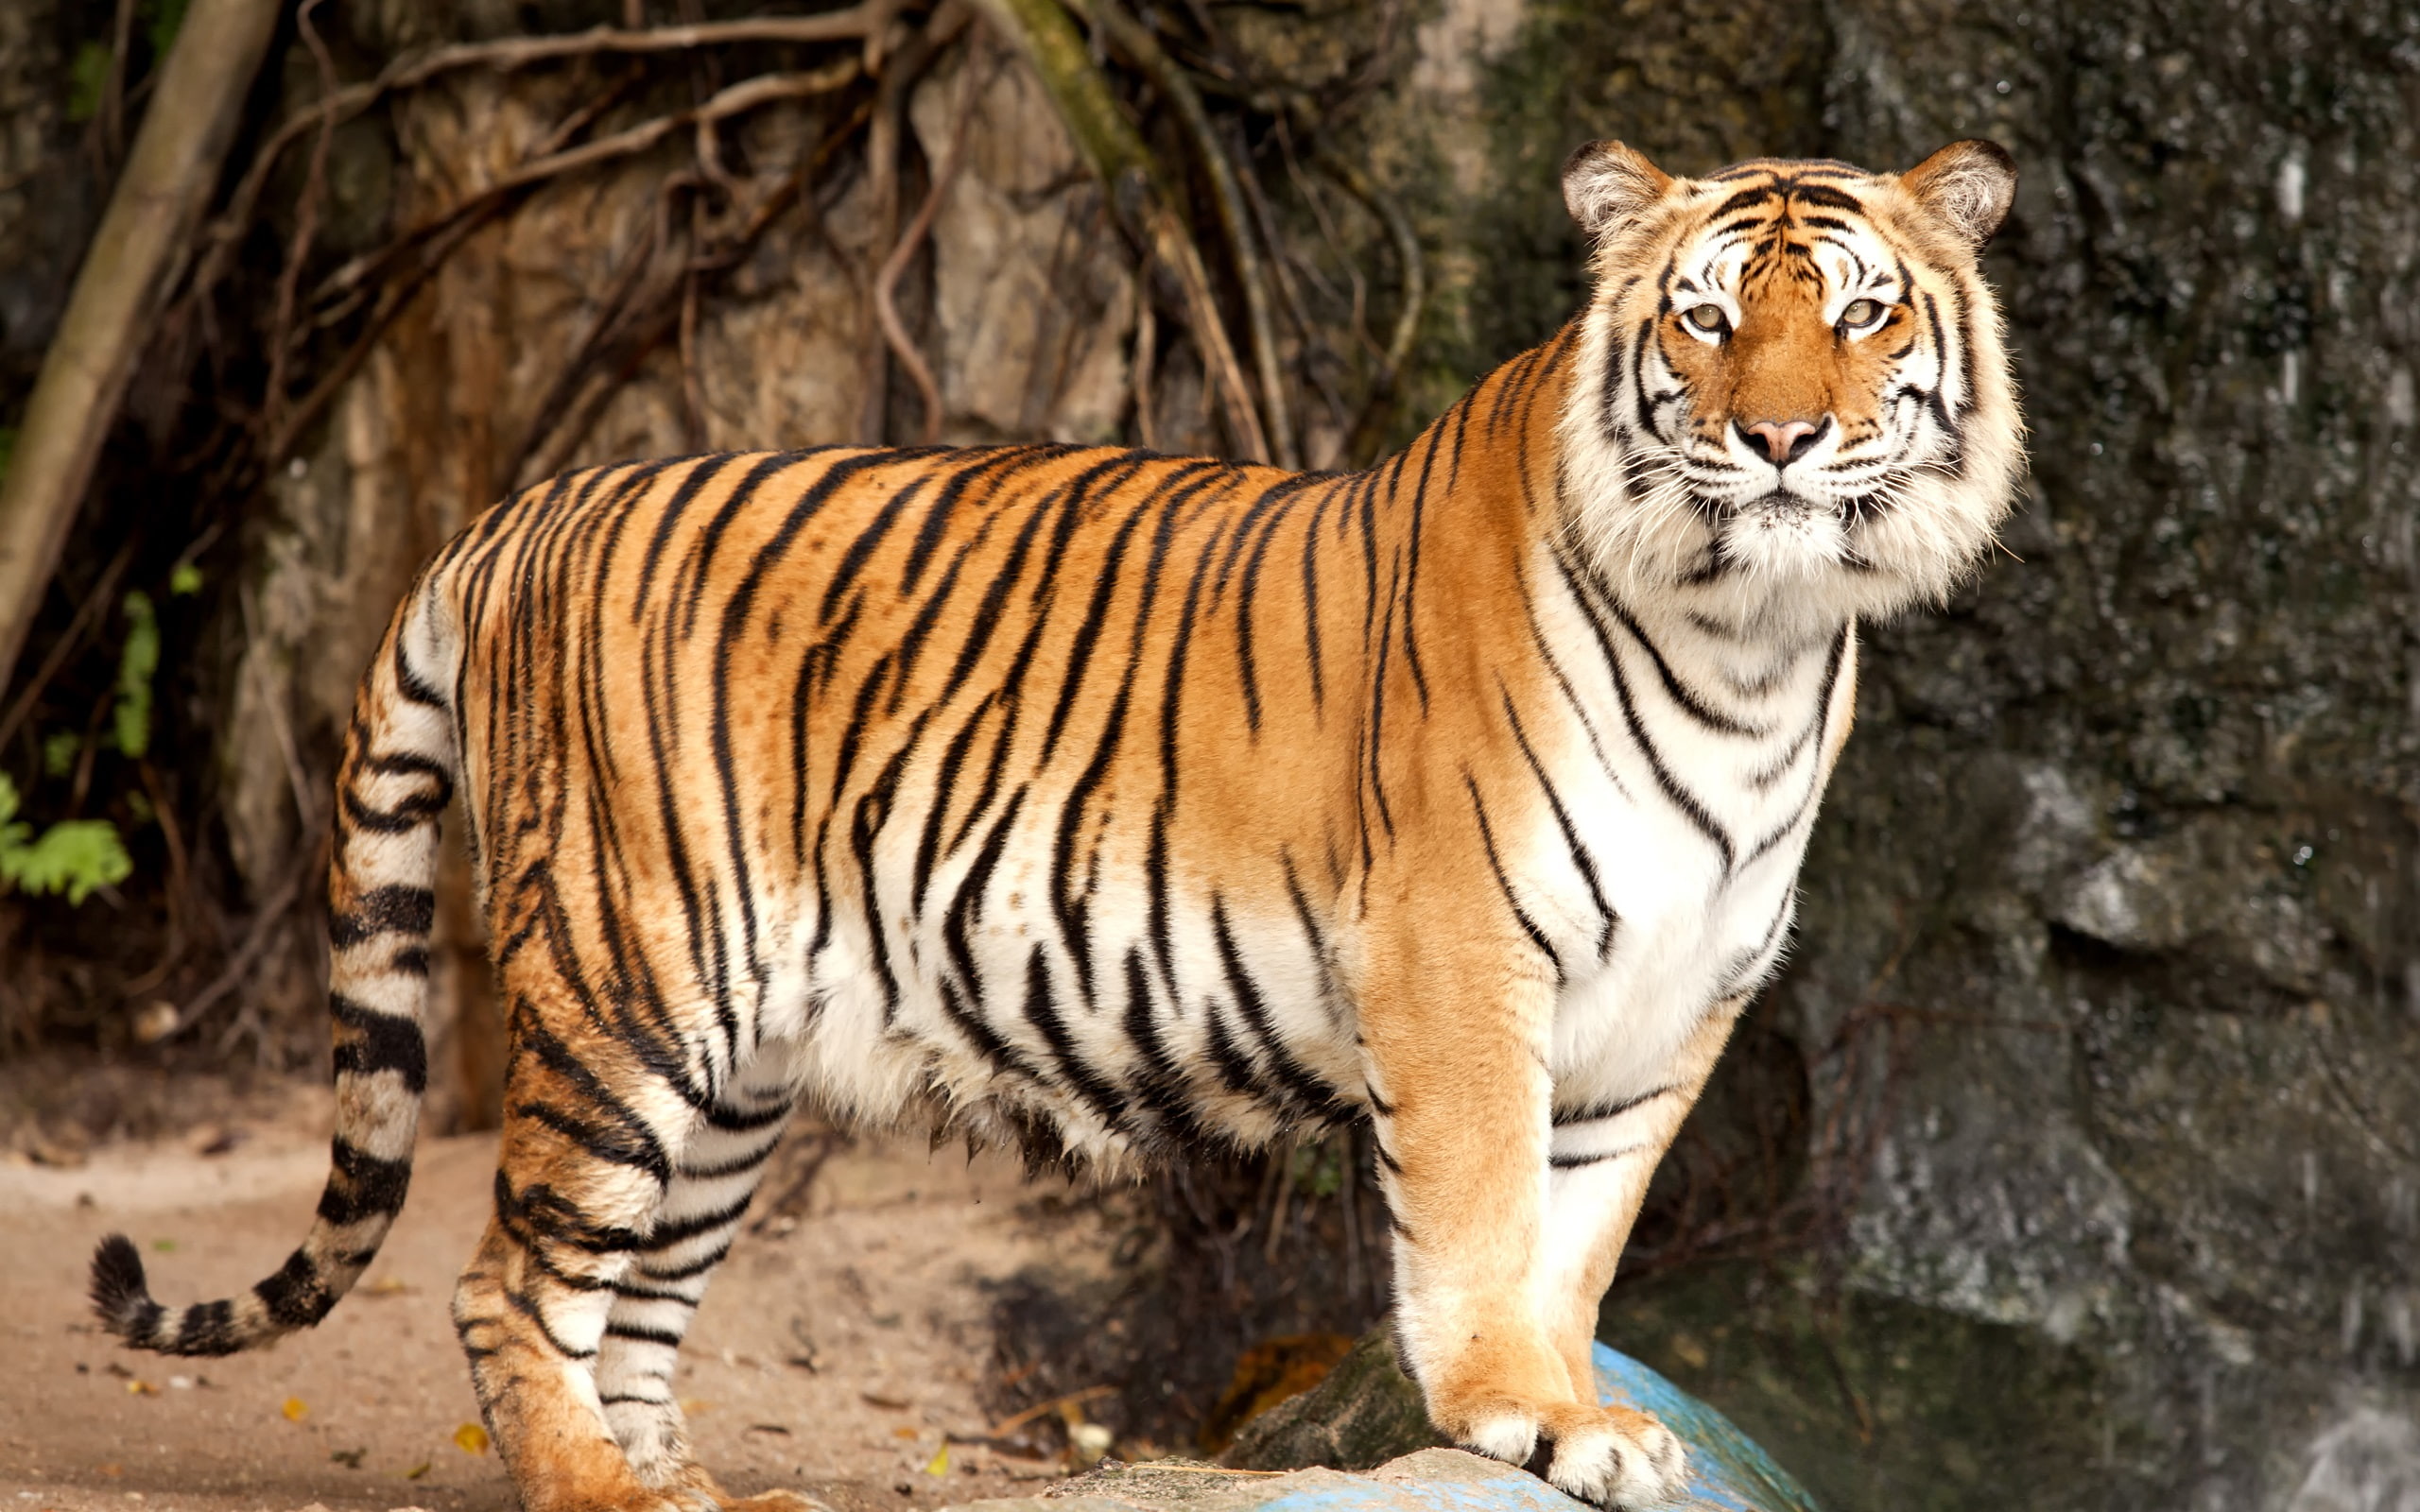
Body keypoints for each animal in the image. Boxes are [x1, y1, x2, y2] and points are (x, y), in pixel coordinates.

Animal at [89, 137, 2020, 1512]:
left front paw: (1573, 1411)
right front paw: (1519, 1418)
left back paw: (695, 1495)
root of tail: (520, 513)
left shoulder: (1679, 1000)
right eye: (1707, 318)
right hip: (627, 986)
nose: (1780, 441)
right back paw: (602, 1497)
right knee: (510, 1284)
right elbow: (1481, 1221)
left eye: (1861, 316)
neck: (1757, 637)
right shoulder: (1465, 958)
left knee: (631, 1307)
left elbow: (1580, 1242)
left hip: (736, 1070)